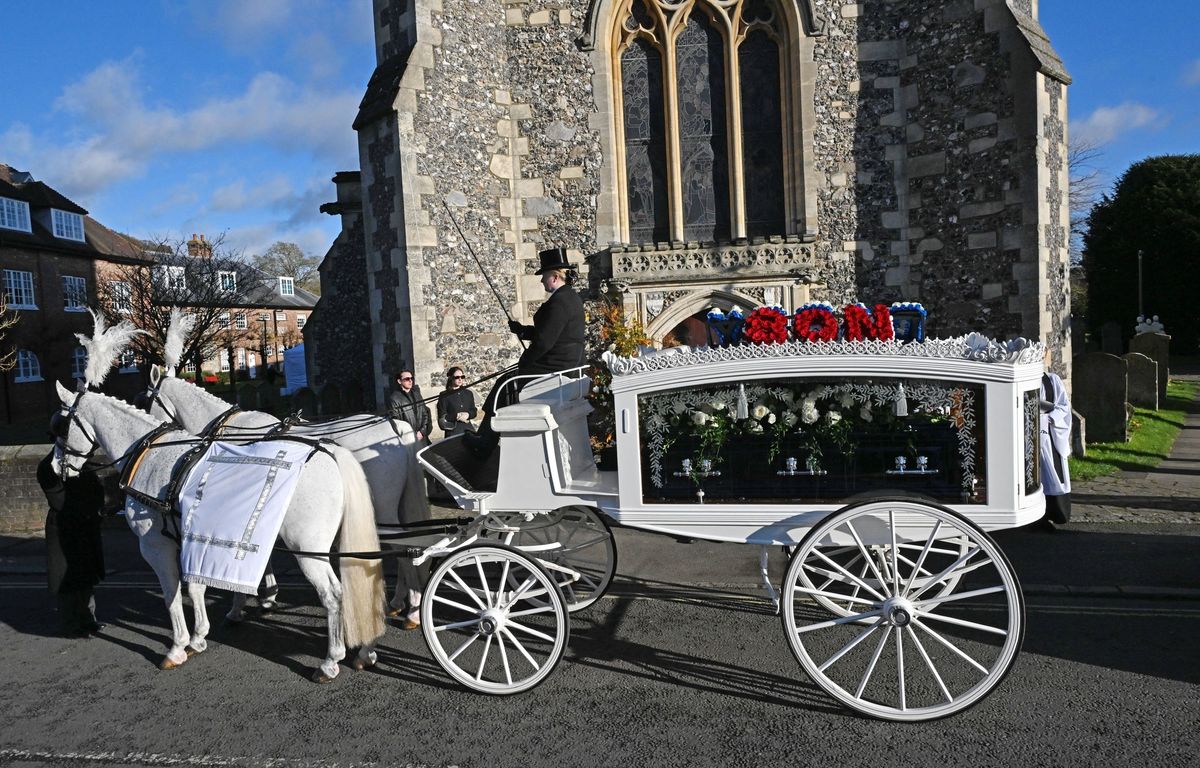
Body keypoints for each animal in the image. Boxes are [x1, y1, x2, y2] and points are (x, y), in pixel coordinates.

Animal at [52, 381, 384, 681]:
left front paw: (178, 647)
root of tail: (330, 452)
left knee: (333, 595)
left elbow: (172, 594)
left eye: (59, 425)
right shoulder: (195, 540)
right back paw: (365, 651)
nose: (56, 467)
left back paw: (330, 661)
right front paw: (200, 636)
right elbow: (197, 586)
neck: (150, 455)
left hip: (307, 549)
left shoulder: (156, 547)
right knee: (360, 584)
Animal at [145, 306, 429, 624]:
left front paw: (244, 602)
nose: (151, 434)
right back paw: (401, 599)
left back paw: (413, 606)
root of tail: (395, 425)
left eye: (148, 398)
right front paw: (266, 594)